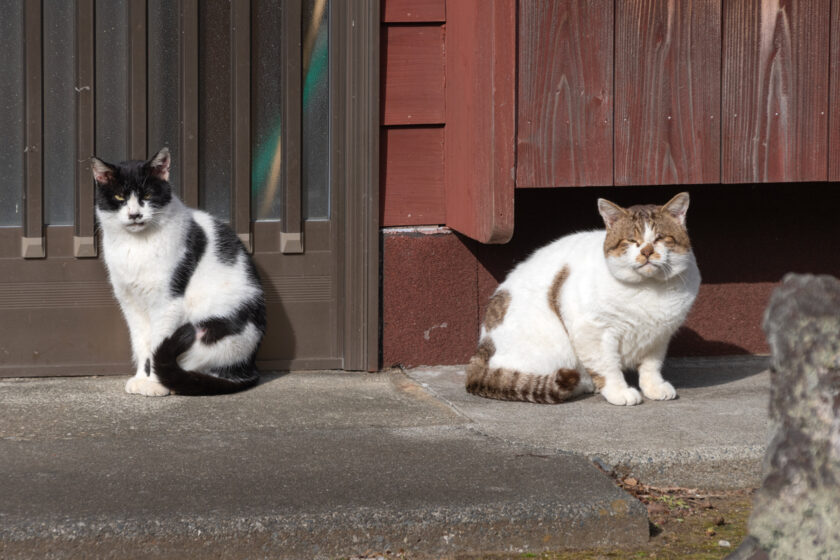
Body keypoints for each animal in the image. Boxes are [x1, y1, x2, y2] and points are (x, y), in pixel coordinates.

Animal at [92, 147, 264, 396]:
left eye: (147, 196)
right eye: (119, 198)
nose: (135, 214)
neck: (137, 245)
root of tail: (248, 367)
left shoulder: (168, 302)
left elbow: (156, 344)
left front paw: (155, 384)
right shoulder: (130, 303)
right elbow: (141, 343)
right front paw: (140, 378)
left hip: (209, 332)